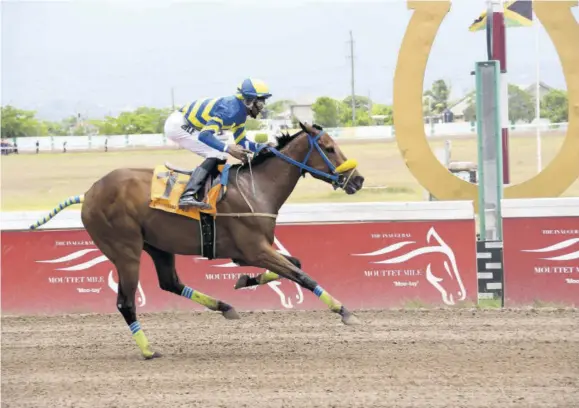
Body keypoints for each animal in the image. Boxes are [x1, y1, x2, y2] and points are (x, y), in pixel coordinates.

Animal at [29, 120, 364, 356]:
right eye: (329, 148)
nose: (357, 180)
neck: (257, 188)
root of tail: (88, 194)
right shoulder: (254, 249)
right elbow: (301, 274)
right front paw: (344, 311)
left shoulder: (251, 252)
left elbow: (295, 263)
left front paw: (246, 280)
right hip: (125, 250)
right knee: (126, 302)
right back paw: (148, 350)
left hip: (158, 246)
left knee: (170, 282)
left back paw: (225, 307)